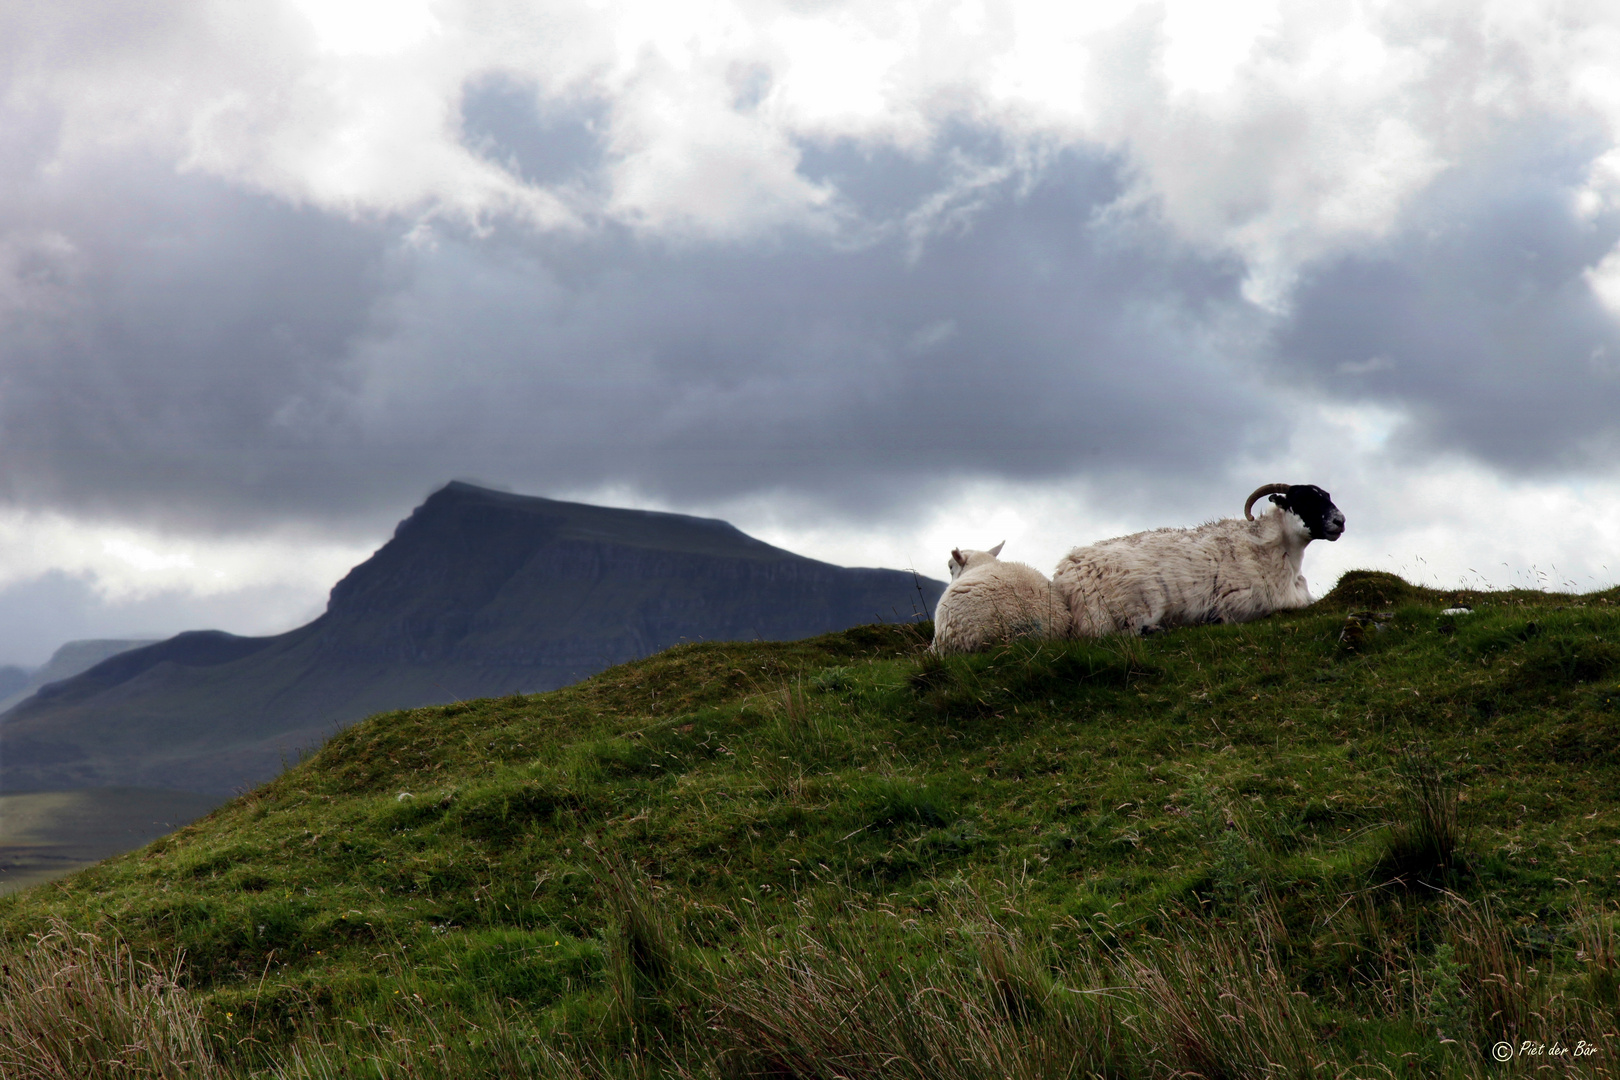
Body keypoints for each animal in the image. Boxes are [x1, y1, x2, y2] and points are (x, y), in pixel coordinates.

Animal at [1049, 485, 1341, 637]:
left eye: (1326, 497)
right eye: (1303, 500)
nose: (1340, 521)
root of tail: (1066, 572)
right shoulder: (1243, 603)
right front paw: (1213, 620)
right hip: (1128, 609)